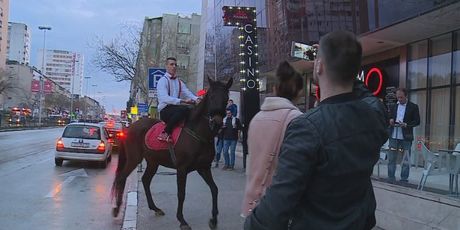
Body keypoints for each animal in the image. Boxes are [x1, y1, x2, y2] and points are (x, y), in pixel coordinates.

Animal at [112, 78, 234, 229]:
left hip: (153, 162)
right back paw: (116, 209)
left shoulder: (204, 167)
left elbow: (214, 189)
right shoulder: (182, 169)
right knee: (121, 177)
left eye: (226, 98)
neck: (198, 133)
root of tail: (131, 127)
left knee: (145, 180)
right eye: (211, 97)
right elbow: (181, 194)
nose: (217, 122)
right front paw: (182, 220)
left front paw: (214, 219)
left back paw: (155, 208)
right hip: (134, 159)